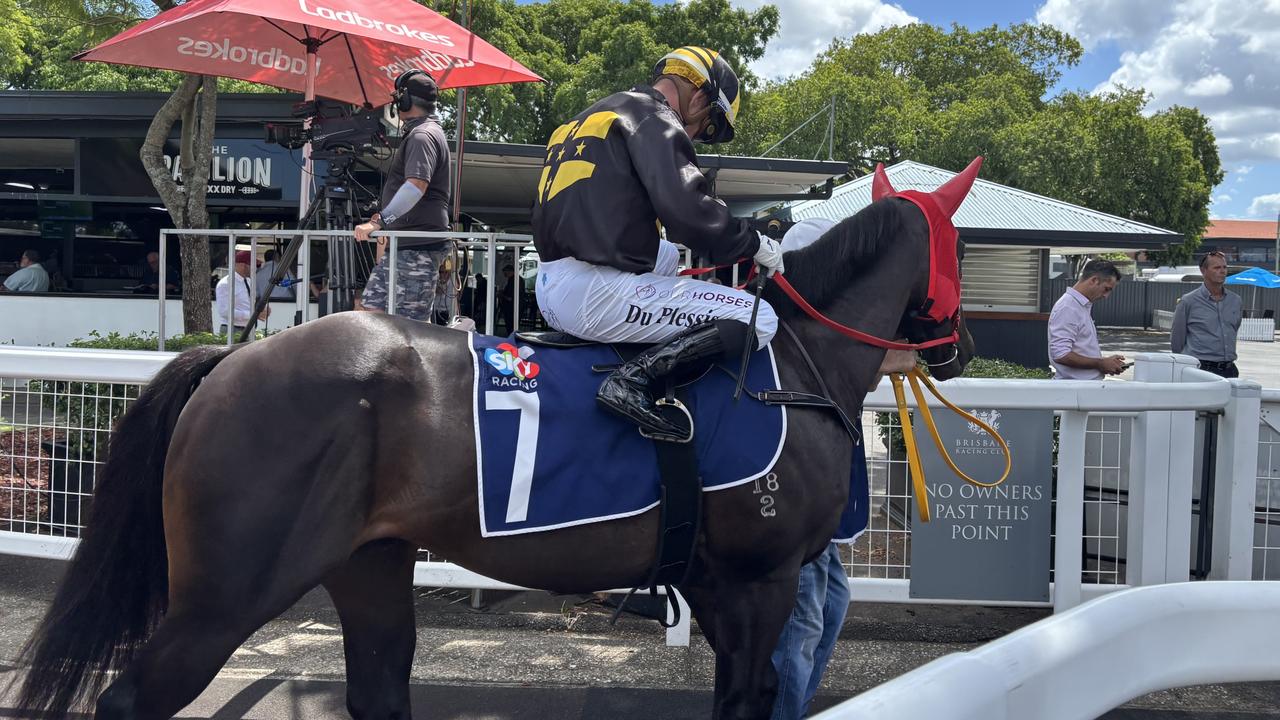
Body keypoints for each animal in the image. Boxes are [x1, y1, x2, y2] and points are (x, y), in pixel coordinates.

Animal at [17, 193, 977, 712]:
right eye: (965, 249)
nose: (956, 347)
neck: (792, 365)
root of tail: (232, 359)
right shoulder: (759, 579)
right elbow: (749, 697)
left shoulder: (715, 582)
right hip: (227, 592)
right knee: (132, 696)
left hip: (367, 562)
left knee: (379, 689)